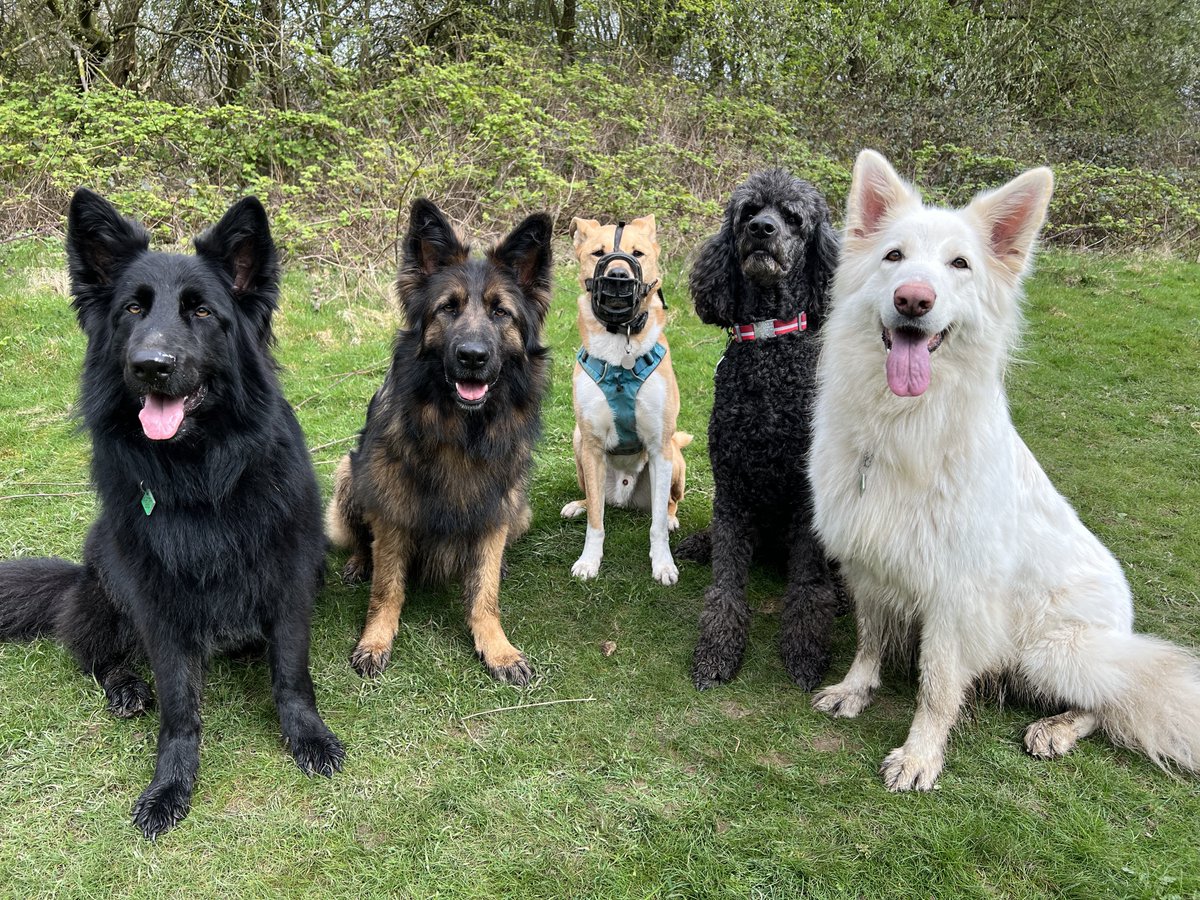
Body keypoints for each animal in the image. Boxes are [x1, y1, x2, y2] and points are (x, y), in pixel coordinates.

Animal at [0, 188, 345, 840]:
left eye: (202, 312)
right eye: (133, 310)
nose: (150, 364)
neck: (200, 473)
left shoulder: (289, 576)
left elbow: (292, 674)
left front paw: (307, 737)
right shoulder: (158, 606)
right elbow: (179, 707)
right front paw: (170, 785)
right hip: (107, 581)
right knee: (95, 655)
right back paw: (125, 687)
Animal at [328, 200, 552, 686]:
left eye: (501, 313)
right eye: (447, 309)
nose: (472, 357)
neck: (459, 429)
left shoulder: (495, 504)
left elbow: (485, 592)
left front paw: (497, 648)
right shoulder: (392, 506)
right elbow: (387, 588)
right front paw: (375, 640)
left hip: (519, 505)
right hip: (349, 472)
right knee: (361, 541)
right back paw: (359, 561)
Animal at [561, 216, 696, 588]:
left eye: (637, 253)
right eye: (598, 253)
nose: (619, 278)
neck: (620, 350)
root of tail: (623, 497)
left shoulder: (660, 447)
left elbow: (657, 527)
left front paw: (663, 564)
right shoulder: (591, 445)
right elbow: (596, 523)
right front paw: (589, 561)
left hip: (674, 460)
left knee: (669, 505)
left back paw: (672, 517)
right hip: (578, 444)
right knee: (595, 501)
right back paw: (578, 504)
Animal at [806, 151, 1200, 792]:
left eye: (959, 264)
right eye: (894, 256)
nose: (913, 300)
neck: (904, 424)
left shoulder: (955, 595)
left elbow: (937, 685)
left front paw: (921, 754)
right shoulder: (869, 567)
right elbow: (869, 641)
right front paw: (855, 689)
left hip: (1054, 653)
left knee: (1111, 701)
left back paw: (1057, 728)